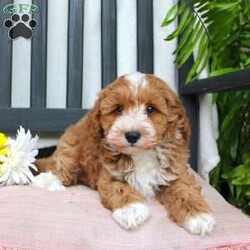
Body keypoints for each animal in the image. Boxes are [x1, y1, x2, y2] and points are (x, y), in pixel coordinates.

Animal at [35, 72, 215, 234]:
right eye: (118, 109)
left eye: (151, 109)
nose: (132, 135)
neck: (141, 154)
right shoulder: (110, 175)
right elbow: (120, 189)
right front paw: (131, 210)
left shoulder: (175, 172)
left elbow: (185, 191)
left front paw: (199, 217)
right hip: (71, 147)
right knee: (61, 166)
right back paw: (47, 179)